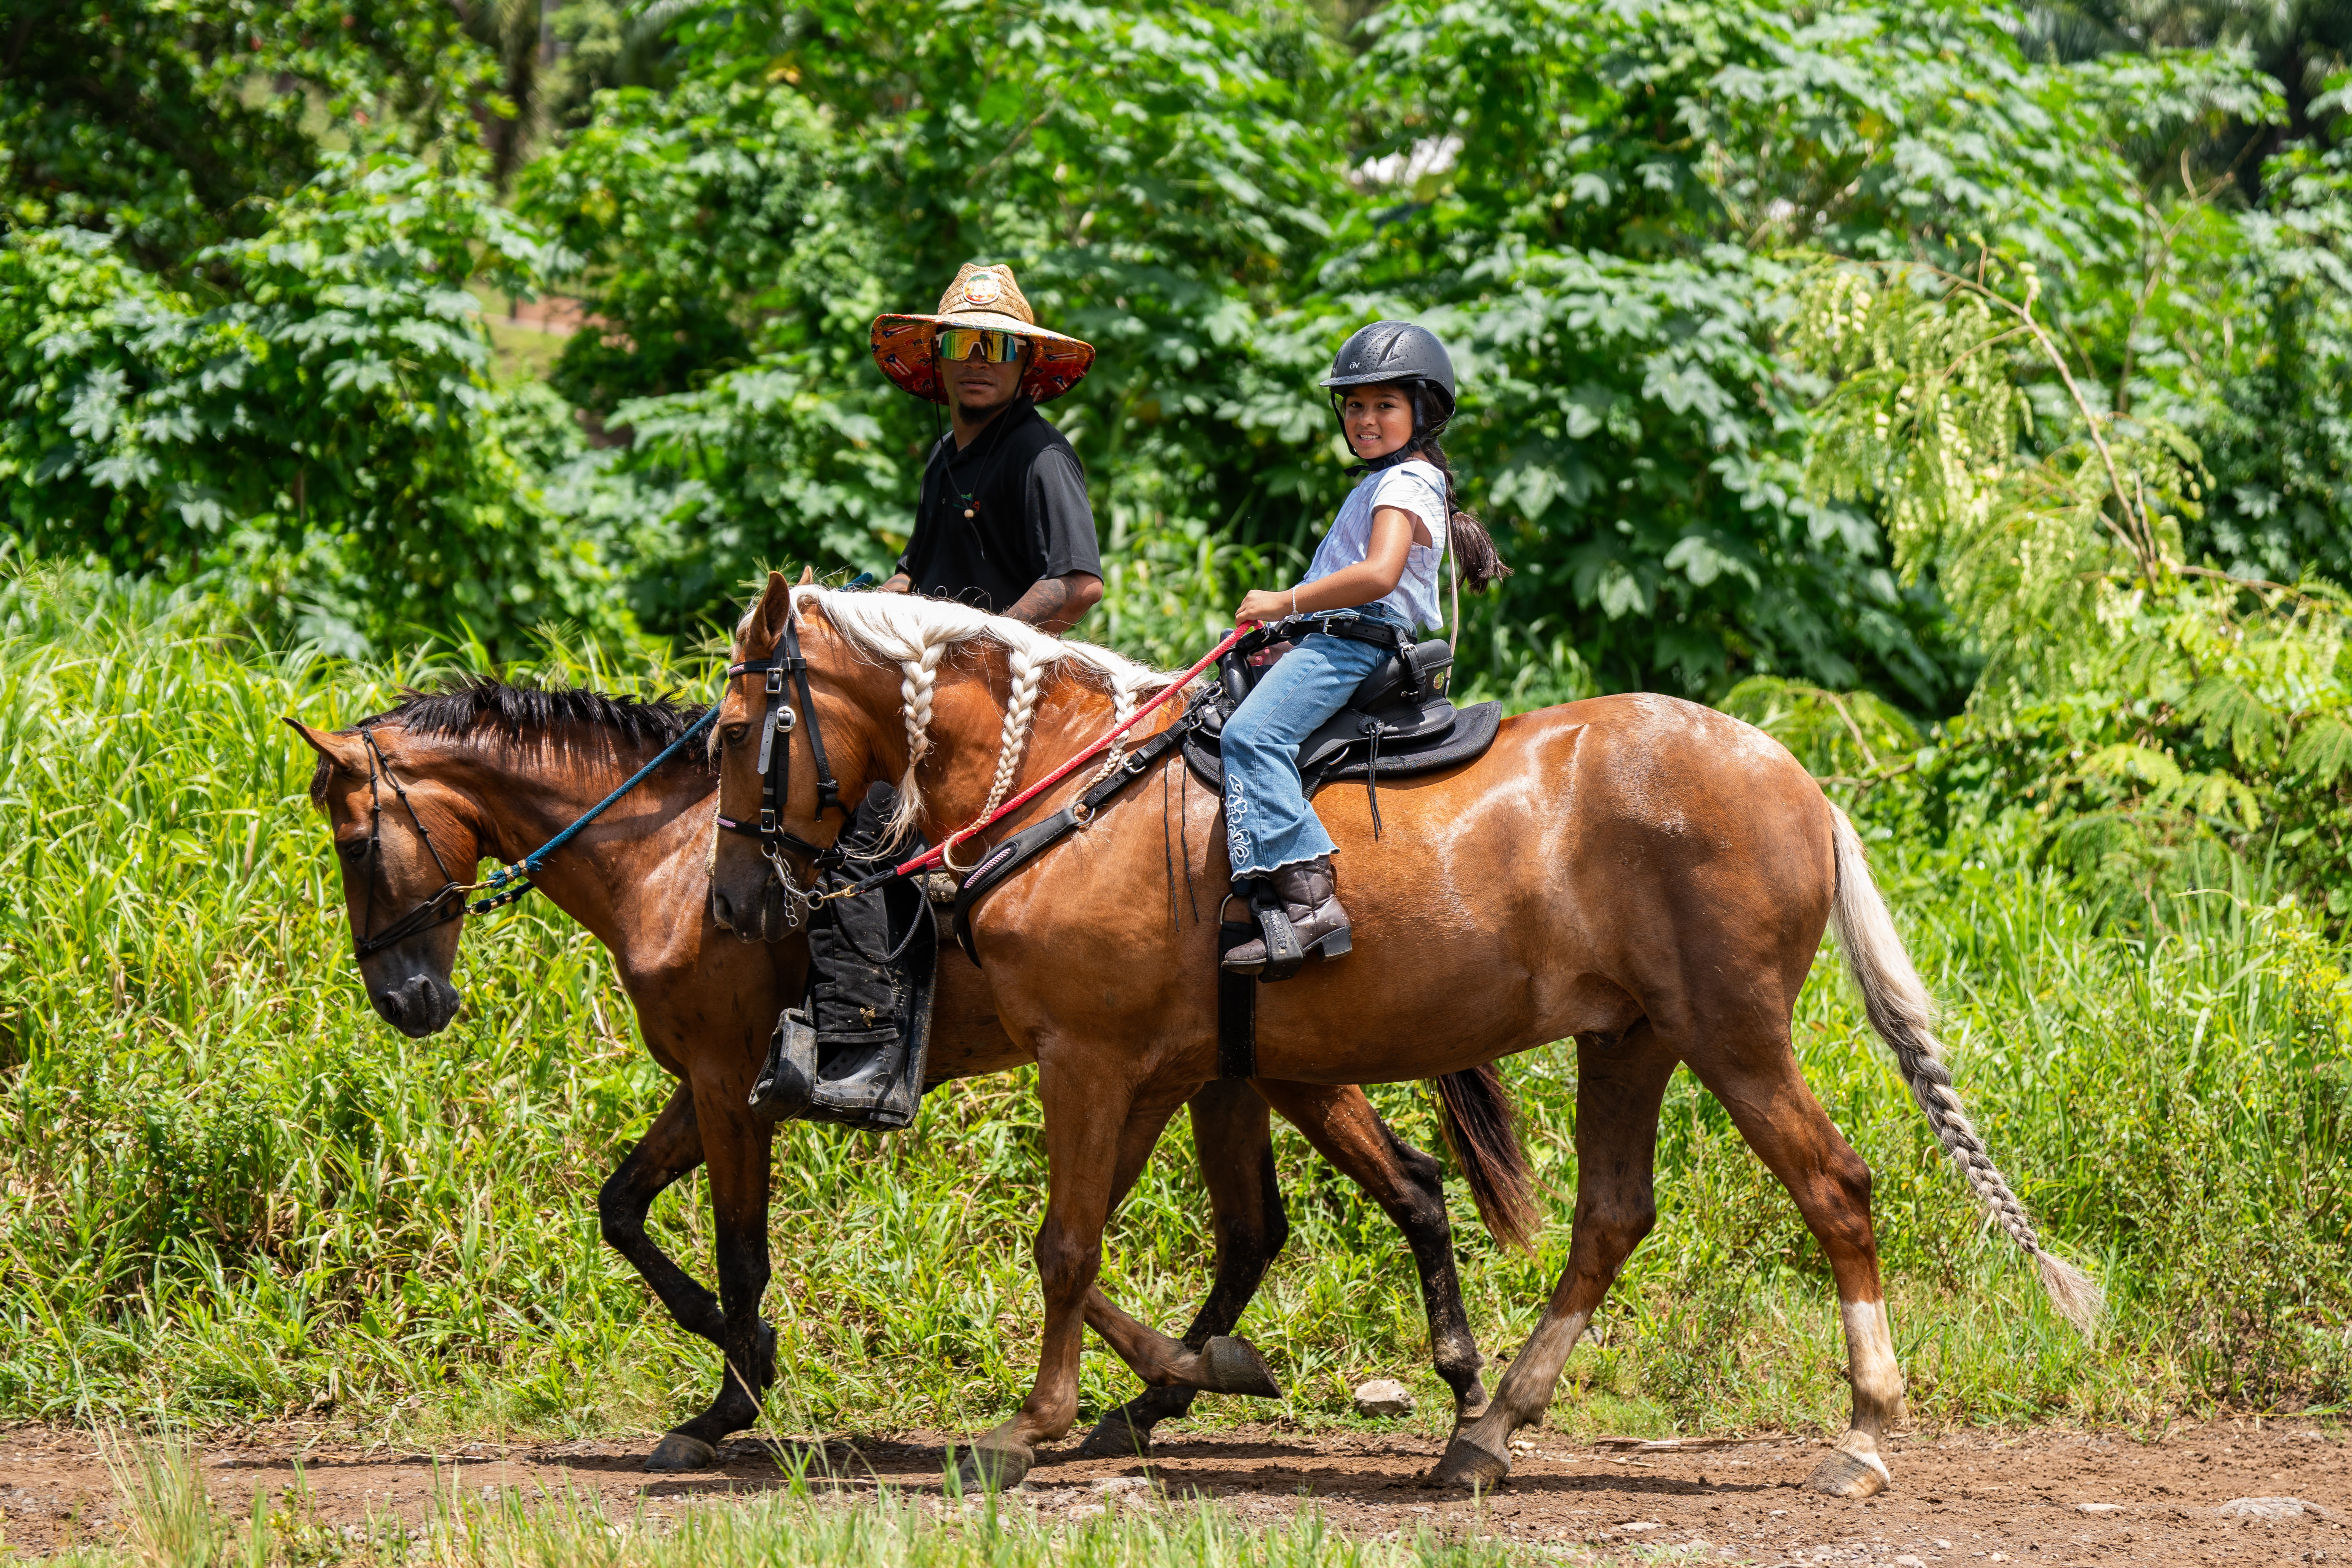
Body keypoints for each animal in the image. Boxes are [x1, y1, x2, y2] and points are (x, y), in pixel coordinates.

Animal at [289, 678, 1533, 1470]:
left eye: (354, 843)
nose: (406, 1004)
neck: (674, 858)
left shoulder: (729, 1084)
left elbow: (738, 1251)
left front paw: (728, 1398)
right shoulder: (706, 1084)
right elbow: (622, 1208)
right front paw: (737, 1359)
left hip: (1276, 1074)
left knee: (1397, 1193)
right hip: (1232, 1077)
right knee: (1274, 1226)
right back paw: (1169, 1392)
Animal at [706, 574, 2100, 1497]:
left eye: (730, 732)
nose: (734, 906)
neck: (1073, 786)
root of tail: (1799, 783)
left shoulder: (1091, 1060)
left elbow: (1065, 1247)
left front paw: (1031, 1426)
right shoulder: (1154, 1069)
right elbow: (1106, 1247)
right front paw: (1182, 1378)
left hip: (1733, 1036)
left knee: (1835, 1188)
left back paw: (1862, 1428)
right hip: (1632, 1039)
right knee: (1611, 1218)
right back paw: (1487, 1431)